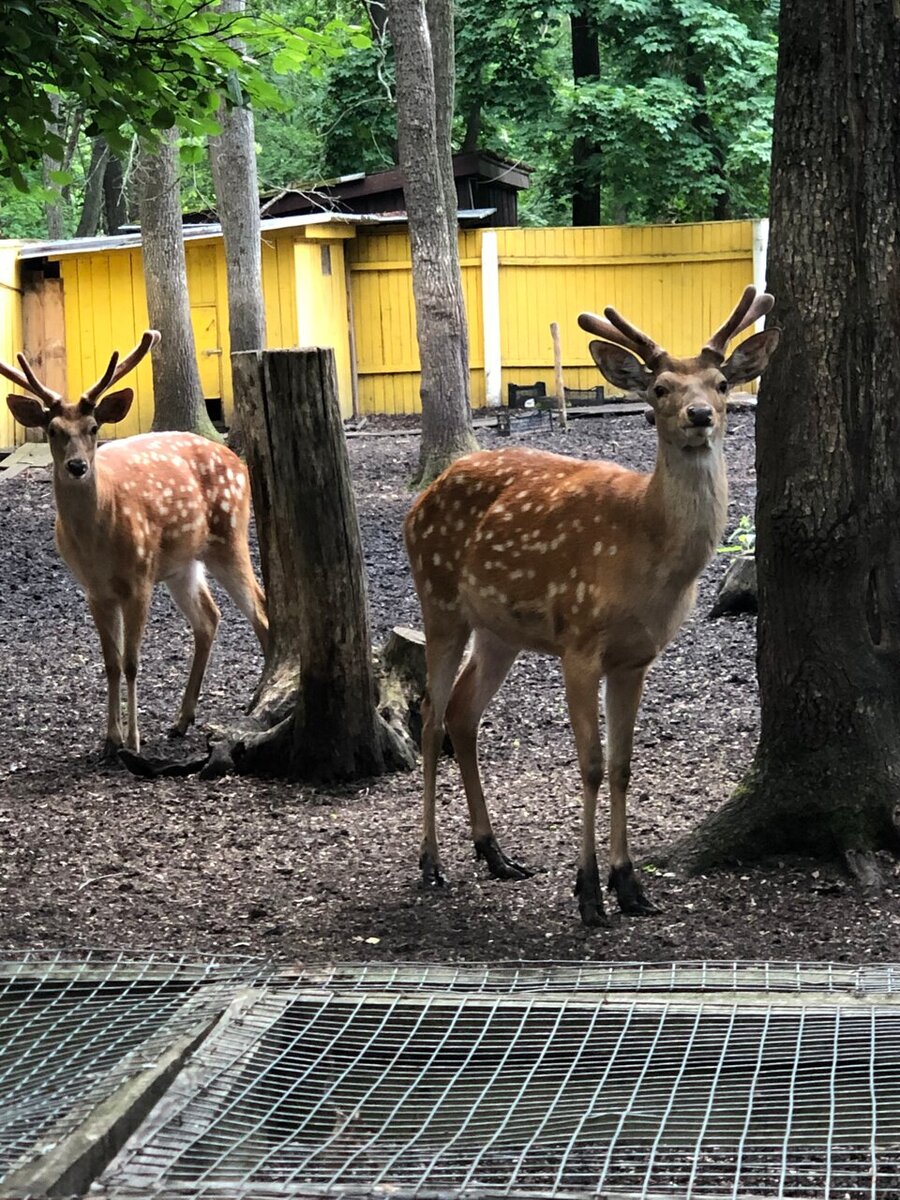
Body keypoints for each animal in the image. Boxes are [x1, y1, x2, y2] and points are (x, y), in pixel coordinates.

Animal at [2, 333, 267, 753]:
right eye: (53, 430)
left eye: (94, 426)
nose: (77, 466)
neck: (97, 543)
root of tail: (238, 461)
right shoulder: (94, 590)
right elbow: (110, 663)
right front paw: (110, 739)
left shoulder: (140, 579)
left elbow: (131, 662)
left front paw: (133, 740)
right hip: (182, 563)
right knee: (209, 618)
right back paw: (182, 720)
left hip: (229, 534)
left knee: (260, 609)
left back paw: (258, 700)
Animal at [405, 285, 777, 921]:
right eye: (660, 388)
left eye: (722, 383)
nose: (700, 416)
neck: (646, 549)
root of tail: (420, 500)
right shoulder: (579, 641)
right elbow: (592, 763)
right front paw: (587, 892)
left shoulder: (635, 658)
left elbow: (625, 766)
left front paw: (630, 886)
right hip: (439, 599)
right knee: (431, 717)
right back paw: (430, 863)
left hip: (499, 630)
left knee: (462, 713)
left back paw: (496, 854)